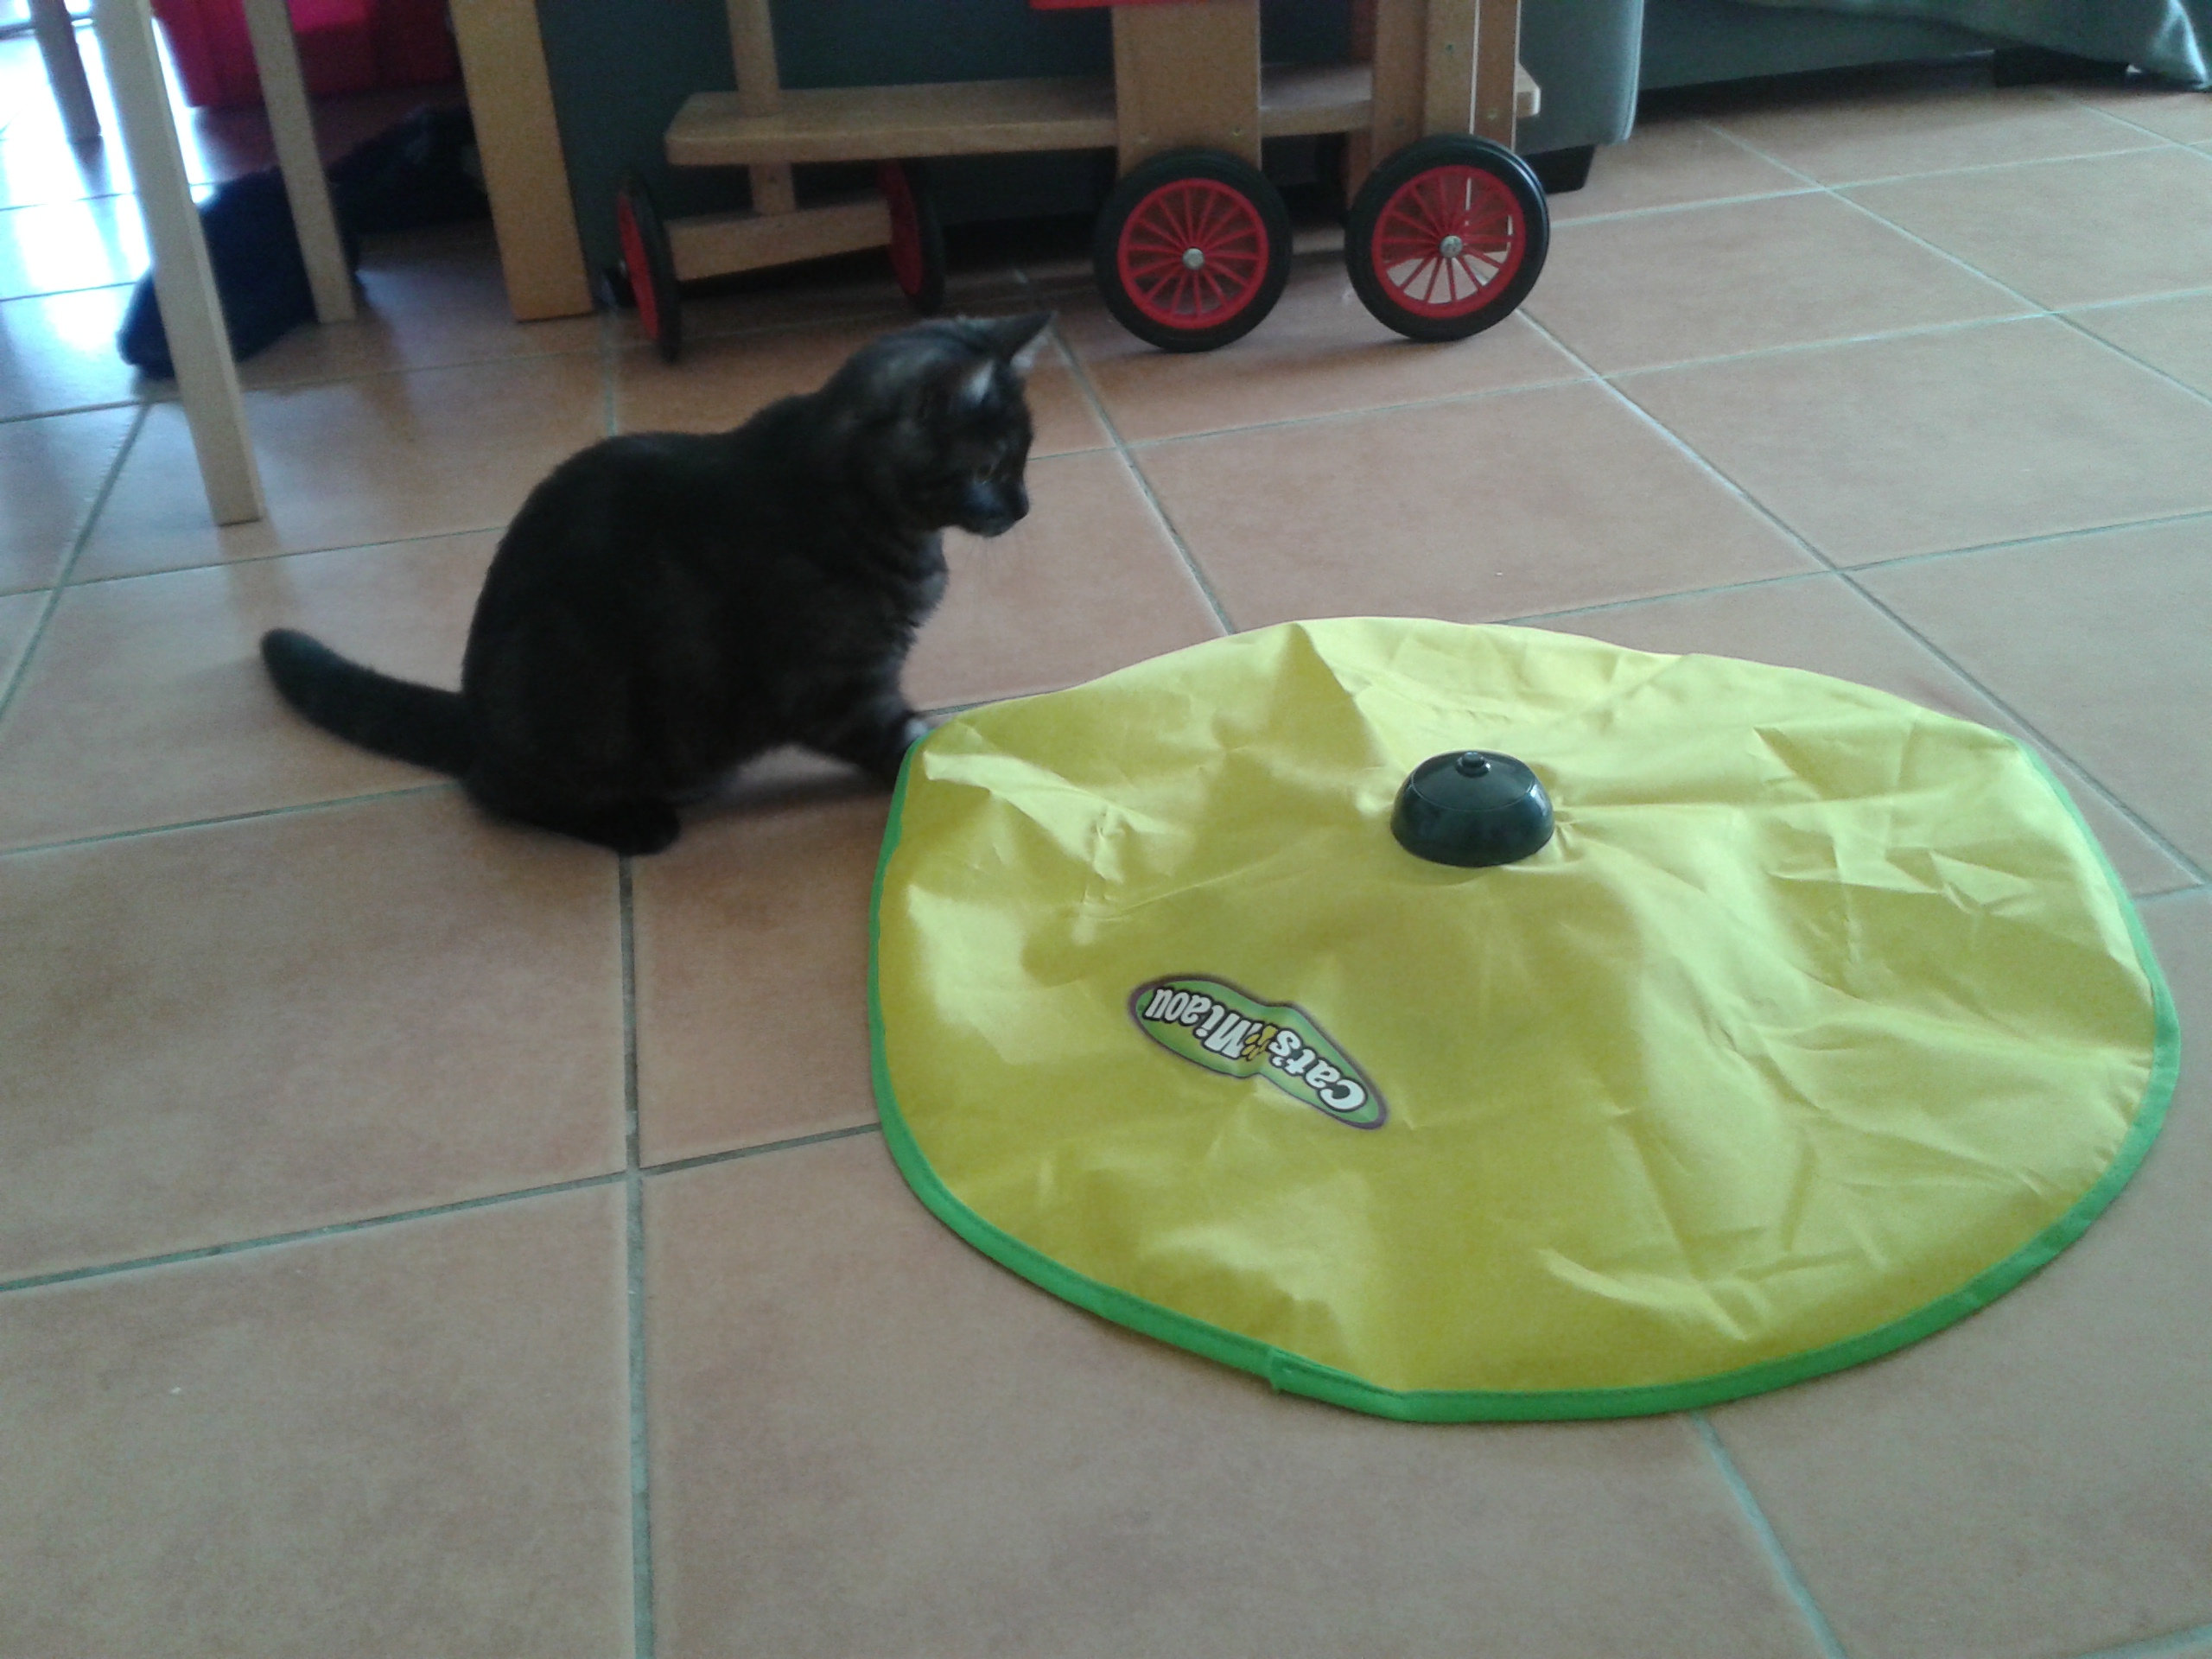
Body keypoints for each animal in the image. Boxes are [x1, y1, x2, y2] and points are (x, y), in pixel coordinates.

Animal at [261, 311, 1052, 855]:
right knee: (494, 790)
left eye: (1023, 461)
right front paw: (967, 768)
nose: (1023, 507)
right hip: (576, 707)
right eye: (989, 468)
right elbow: (905, 737)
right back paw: (635, 822)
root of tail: (474, 714)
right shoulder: (835, 690)